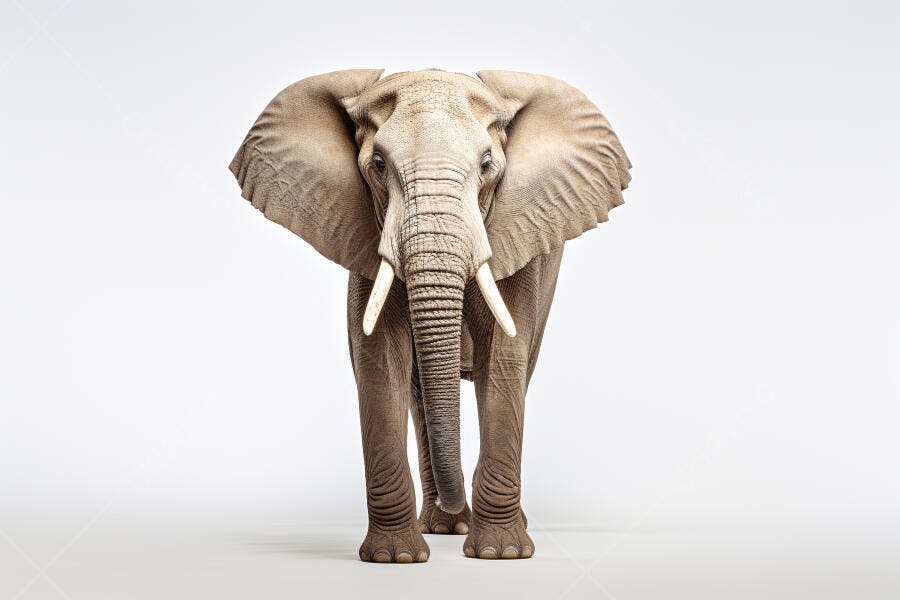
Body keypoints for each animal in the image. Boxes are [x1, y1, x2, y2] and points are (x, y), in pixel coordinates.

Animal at [228, 69, 630, 562]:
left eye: (487, 164)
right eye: (378, 164)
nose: (457, 508)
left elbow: (503, 361)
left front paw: (500, 553)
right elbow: (380, 361)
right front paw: (395, 558)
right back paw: (444, 526)